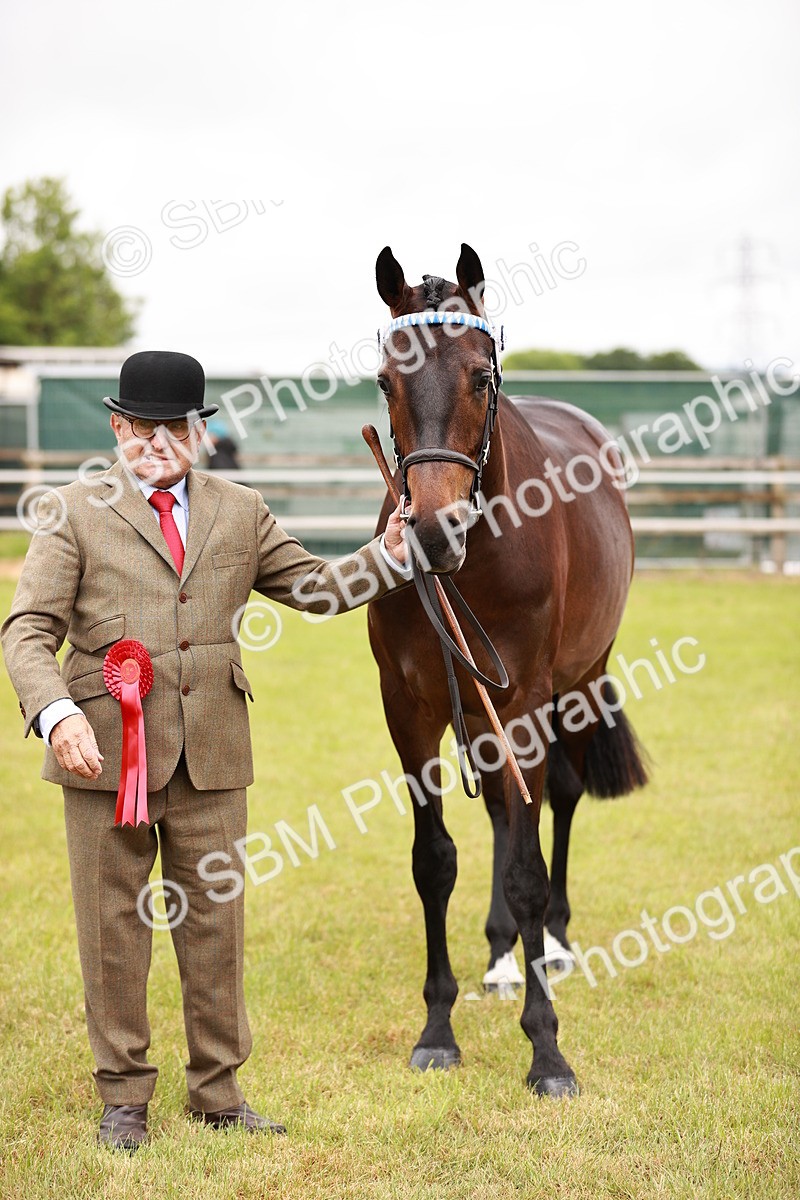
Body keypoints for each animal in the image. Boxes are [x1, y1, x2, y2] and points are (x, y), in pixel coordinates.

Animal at [367, 244, 648, 1096]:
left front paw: (547, 1049)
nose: (432, 530)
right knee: (498, 808)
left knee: (559, 798)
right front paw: (437, 1029)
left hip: (580, 682)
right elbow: (434, 862)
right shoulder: (410, 710)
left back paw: (550, 944)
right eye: (385, 382)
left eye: (482, 377)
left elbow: (528, 868)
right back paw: (498, 956)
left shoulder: (524, 701)